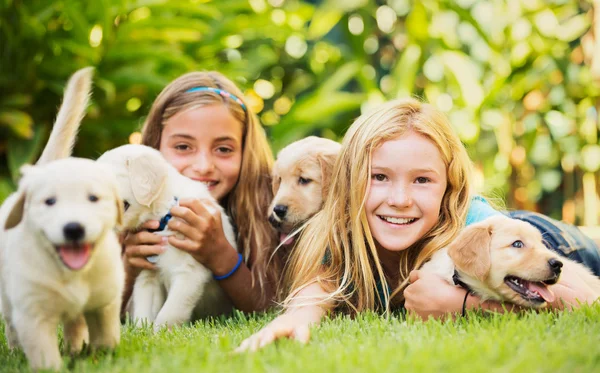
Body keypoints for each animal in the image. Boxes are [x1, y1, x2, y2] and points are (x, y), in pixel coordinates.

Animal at [0, 157, 123, 370]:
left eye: (93, 198)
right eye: (50, 201)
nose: (73, 228)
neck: (73, 272)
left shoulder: (105, 300)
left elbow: (107, 336)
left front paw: (103, 358)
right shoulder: (34, 313)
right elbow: (45, 355)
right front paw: (51, 368)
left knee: (75, 325)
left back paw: (74, 349)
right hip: (7, 299)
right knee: (11, 327)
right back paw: (16, 351)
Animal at [97, 144, 238, 330]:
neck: (162, 216)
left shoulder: (189, 272)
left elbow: (170, 313)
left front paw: (162, 332)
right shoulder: (148, 273)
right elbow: (144, 311)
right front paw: (142, 331)